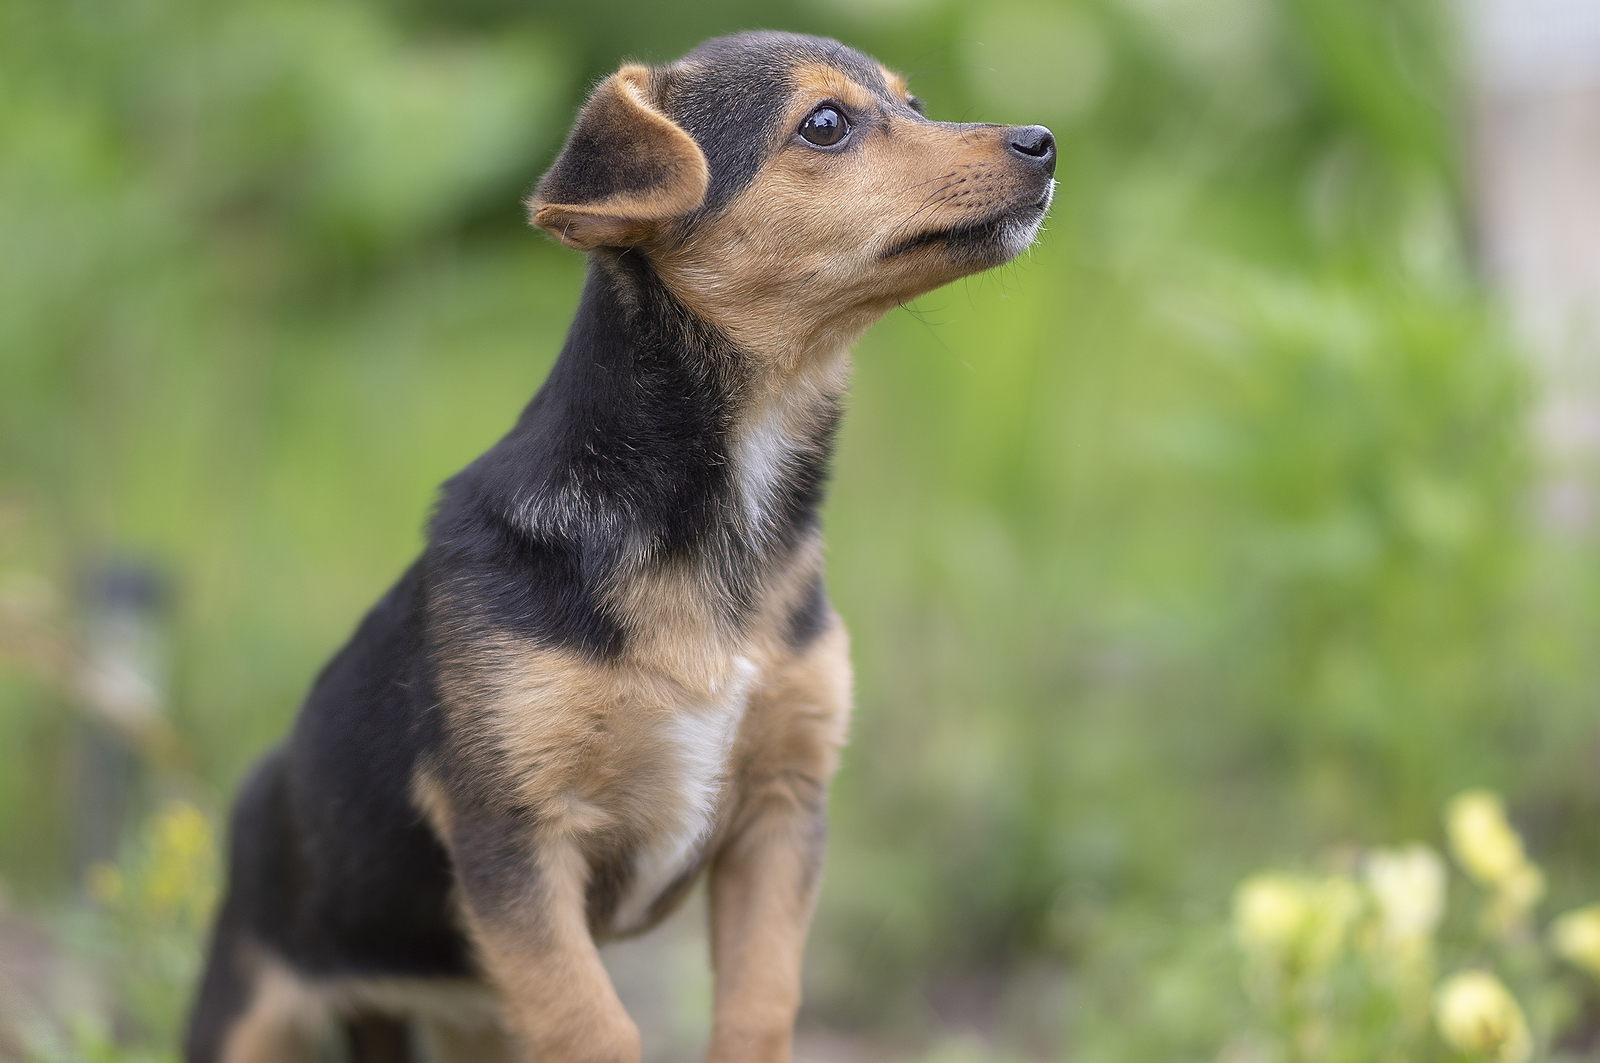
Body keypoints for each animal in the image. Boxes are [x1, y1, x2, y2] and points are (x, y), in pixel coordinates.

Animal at [184, 29, 1049, 1063]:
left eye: (914, 105)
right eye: (826, 125)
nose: (1042, 141)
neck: (721, 510)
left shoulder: (781, 811)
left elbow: (761, 1008)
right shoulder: (515, 836)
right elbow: (592, 1026)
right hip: (255, 993)